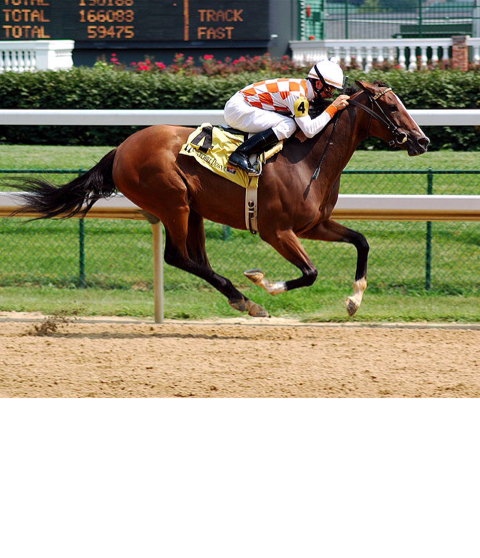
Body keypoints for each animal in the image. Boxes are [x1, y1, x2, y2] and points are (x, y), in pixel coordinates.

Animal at [11, 80, 430, 318]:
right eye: (391, 105)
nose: (423, 140)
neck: (310, 158)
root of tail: (121, 148)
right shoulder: (277, 231)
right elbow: (310, 273)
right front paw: (263, 282)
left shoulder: (314, 224)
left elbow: (361, 241)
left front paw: (354, 300)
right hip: (173, 202)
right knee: (177, 257)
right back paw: (247, 299)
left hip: (192, 209)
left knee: (196, 259)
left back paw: (240, 299)